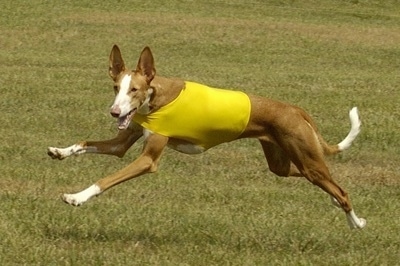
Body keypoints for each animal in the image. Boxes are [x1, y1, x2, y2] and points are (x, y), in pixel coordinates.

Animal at [47, 45, 366, 229]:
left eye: (134, 90)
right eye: (116, 87)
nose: (115, 112)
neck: (156, 96)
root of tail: (295, 109)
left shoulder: (148, 160)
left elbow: (106, 180)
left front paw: (76, 197)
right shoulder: (121, 144)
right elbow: (86, 143)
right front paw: (60, 151)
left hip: (307, 159)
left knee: (342, 191)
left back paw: (357, 223)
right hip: (283, 164)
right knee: (325, 182)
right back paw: (338, 205)